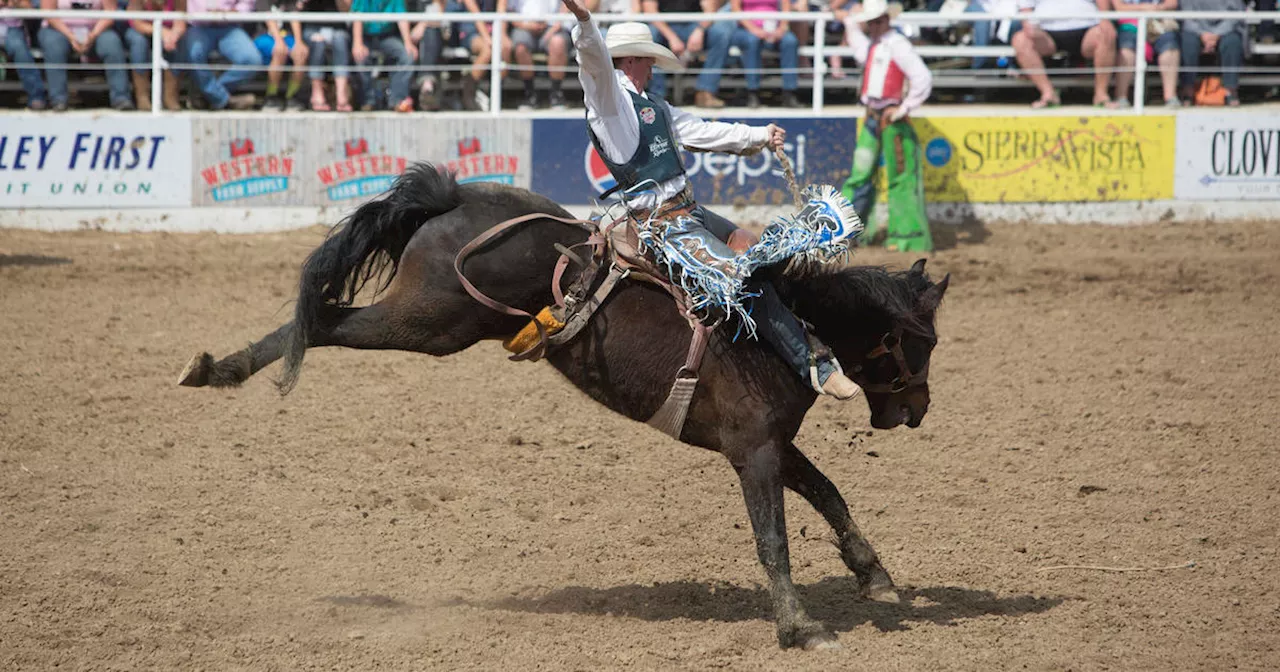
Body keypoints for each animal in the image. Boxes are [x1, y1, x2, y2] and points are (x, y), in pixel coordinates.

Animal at [175, 163, 947, 650]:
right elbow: (773, 537)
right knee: (326, 320)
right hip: (428, 322)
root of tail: (454, 199)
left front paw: (875, 578)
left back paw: (212, 368)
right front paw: (799, 628)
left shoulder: (773, 444)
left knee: (325, 315)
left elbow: (830, 493)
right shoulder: (753, 451)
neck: (783, 326)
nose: (918, 410)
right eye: (927, 342)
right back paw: (217, 368)